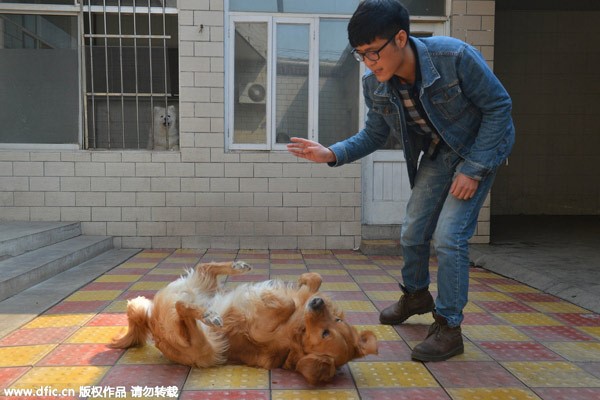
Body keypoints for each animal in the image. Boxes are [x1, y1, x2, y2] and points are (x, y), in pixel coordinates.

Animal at [110, 260, 378, 382]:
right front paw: (303, 280)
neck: (300, 331)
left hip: (204, 349)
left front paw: (272, 296)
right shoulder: (306, 300)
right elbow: (313, 281)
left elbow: (289, 303)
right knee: (205, 268)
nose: (318, 303)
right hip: (201, 288)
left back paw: (208, 314)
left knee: (183, 308)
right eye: (335, 320)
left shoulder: (261, 330)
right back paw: (237, 266)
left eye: (325, 334)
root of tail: (152, 322)